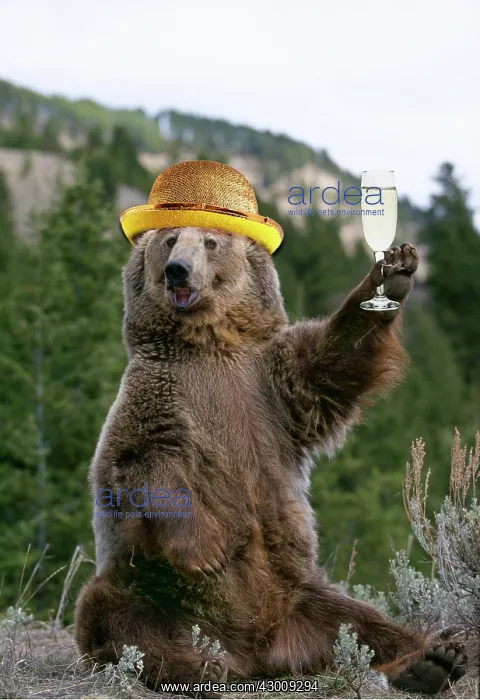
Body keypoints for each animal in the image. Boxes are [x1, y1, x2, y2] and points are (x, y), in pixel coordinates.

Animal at [75, 226, 467, 695]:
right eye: (169, 240)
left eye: (210, 242)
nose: (177, 270)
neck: (209, 343)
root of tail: (257, 651)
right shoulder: (158, 394)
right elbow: (142, 461)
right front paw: (207, 551)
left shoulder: (274, 383)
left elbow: (335, 357)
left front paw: (394, 273)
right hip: (149, 584)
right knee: (122, 622)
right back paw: (198, 667)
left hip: (303, 595)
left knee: (360, 624)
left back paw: (432, 659)